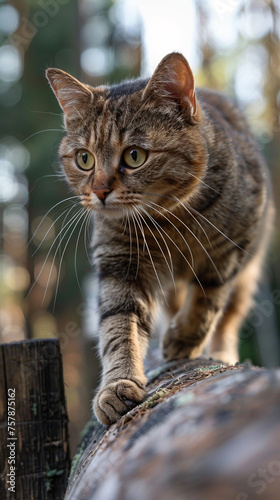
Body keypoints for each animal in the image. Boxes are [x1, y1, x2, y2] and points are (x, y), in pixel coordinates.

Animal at [47, 52, 272, 424]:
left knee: (227, 318)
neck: (166, 222)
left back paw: (217, 350)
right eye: (84, 159)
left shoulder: (230, 248)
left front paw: (184, 339)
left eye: (134, 155)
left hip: (247, 275)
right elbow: (119, 325)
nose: (99, 191)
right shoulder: (120, 261)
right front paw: (118, 384)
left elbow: (208, 300)